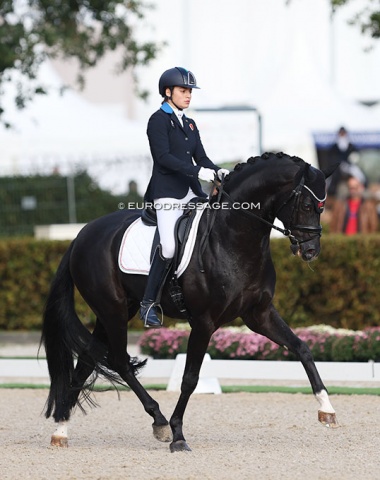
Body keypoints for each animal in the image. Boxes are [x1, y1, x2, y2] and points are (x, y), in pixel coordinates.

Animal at [40, 152, 338, 452]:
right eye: (307, 204)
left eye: (322, 207)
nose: (311, 251)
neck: (234, 236)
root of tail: (81, 236)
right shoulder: (204, 322)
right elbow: (190, 379)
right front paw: (178, 435)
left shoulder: (259, 314)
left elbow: (301, 348)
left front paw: (327, 409)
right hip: (111, 310)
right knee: (119, 360)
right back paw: (158, 421)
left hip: (117, 310)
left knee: (87, 360)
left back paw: (61, 429)